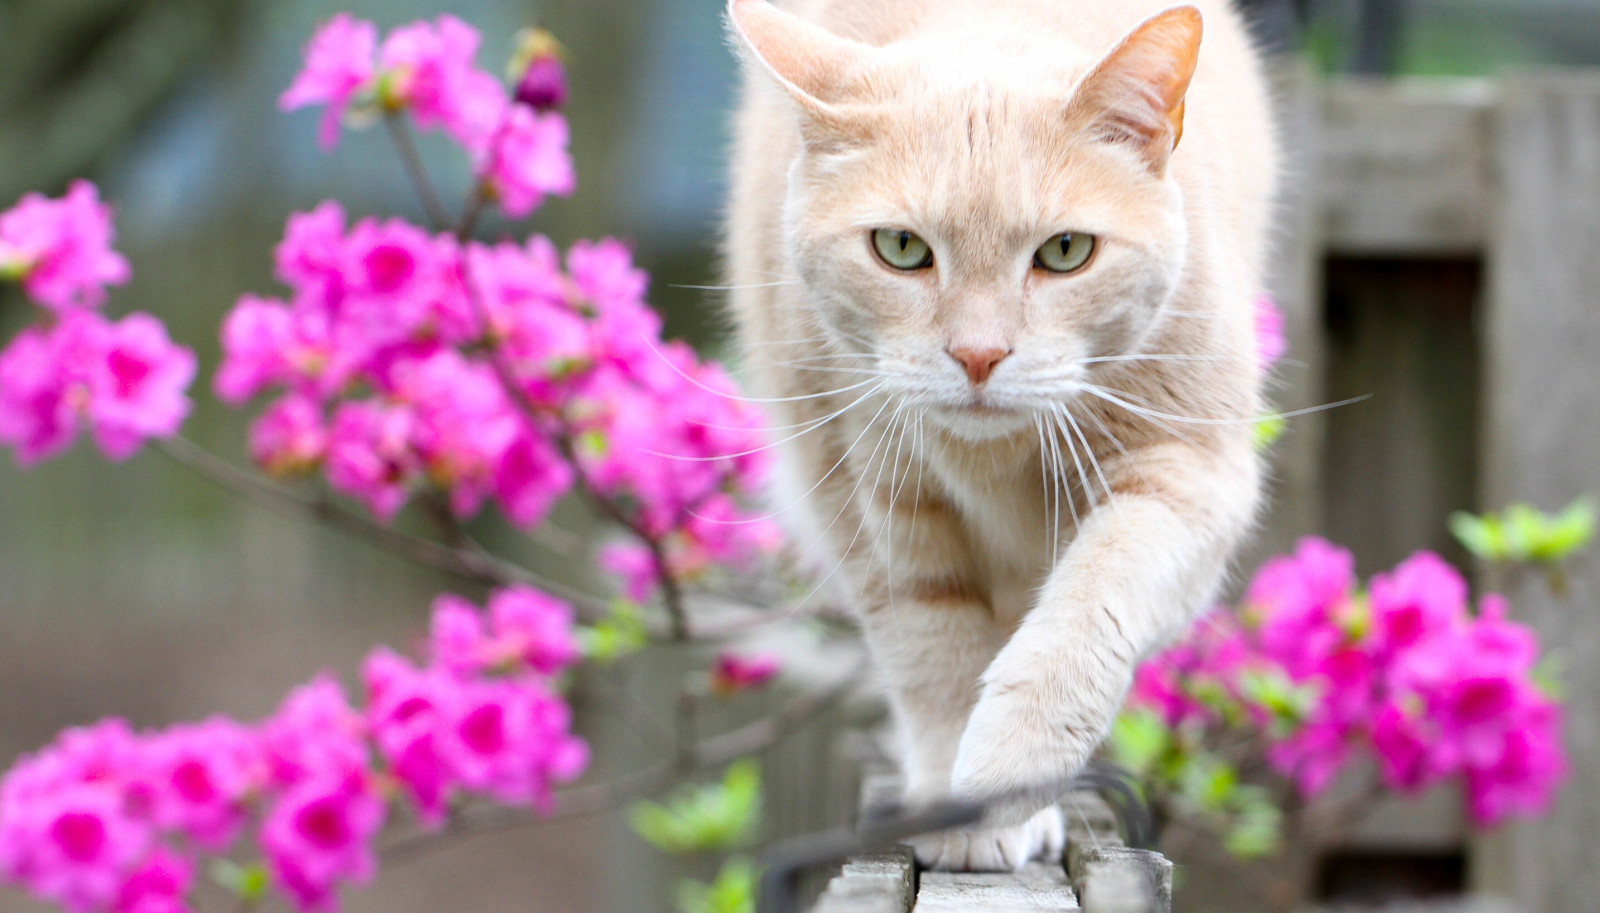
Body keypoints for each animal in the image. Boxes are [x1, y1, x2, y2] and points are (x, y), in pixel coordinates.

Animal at [726, 0, 1273, 869]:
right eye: (901, 248)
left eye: (1066, 251)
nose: (978, 355)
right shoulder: (874, 503)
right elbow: (934, 657)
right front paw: (960, 811)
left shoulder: (1187, 480)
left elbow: (1083, 619)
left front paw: (1010, 772)